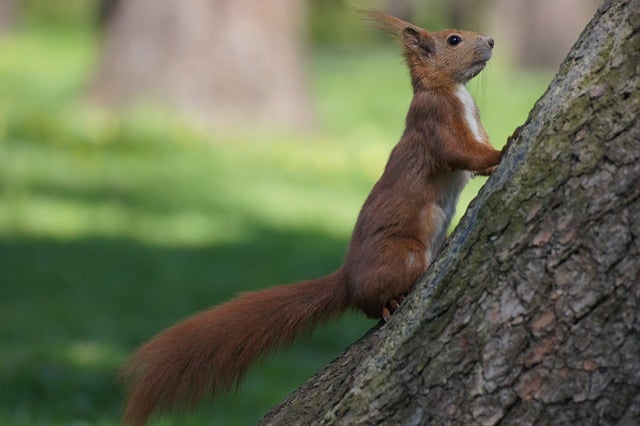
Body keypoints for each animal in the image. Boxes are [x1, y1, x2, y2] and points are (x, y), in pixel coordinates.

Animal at [120, 10, 500, 426]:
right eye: (453, 40)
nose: (491, 41)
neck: (454, 92)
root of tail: (347, 280)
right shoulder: (436, 122)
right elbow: (461, 153)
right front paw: (505, 149)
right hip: (403, 255)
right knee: (372, 304)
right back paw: (391, 303)